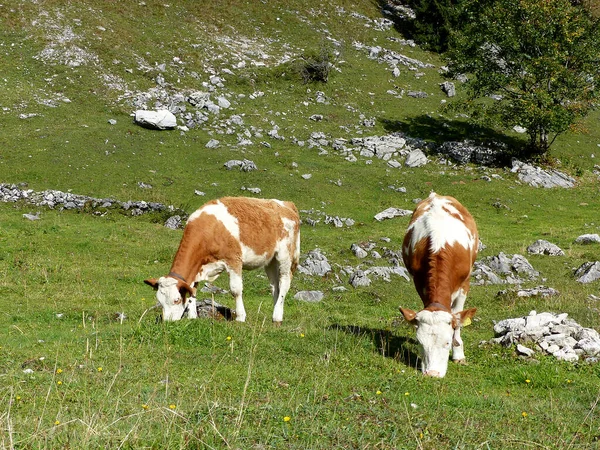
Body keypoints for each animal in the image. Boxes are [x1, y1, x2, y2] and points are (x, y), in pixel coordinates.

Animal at [145, 196, 300, 324]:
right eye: (160, 301)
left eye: (176, 300)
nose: (168, 322)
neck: (208, 231)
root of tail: (286, 204)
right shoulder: (198, 267)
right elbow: (192, 291)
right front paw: (192, 317)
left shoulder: (234, 260)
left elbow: (236, 290)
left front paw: (240, 317)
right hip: (270, 260)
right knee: (275, 286)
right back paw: (275, 315)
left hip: (285, 255)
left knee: (284, 283)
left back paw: (277, 317)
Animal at [398, 192, 478, 378]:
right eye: (420, 342)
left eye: (447, 343)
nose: (432, 373)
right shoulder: (419, 282)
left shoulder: (465, 284)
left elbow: (458, 317)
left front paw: (458, 354)